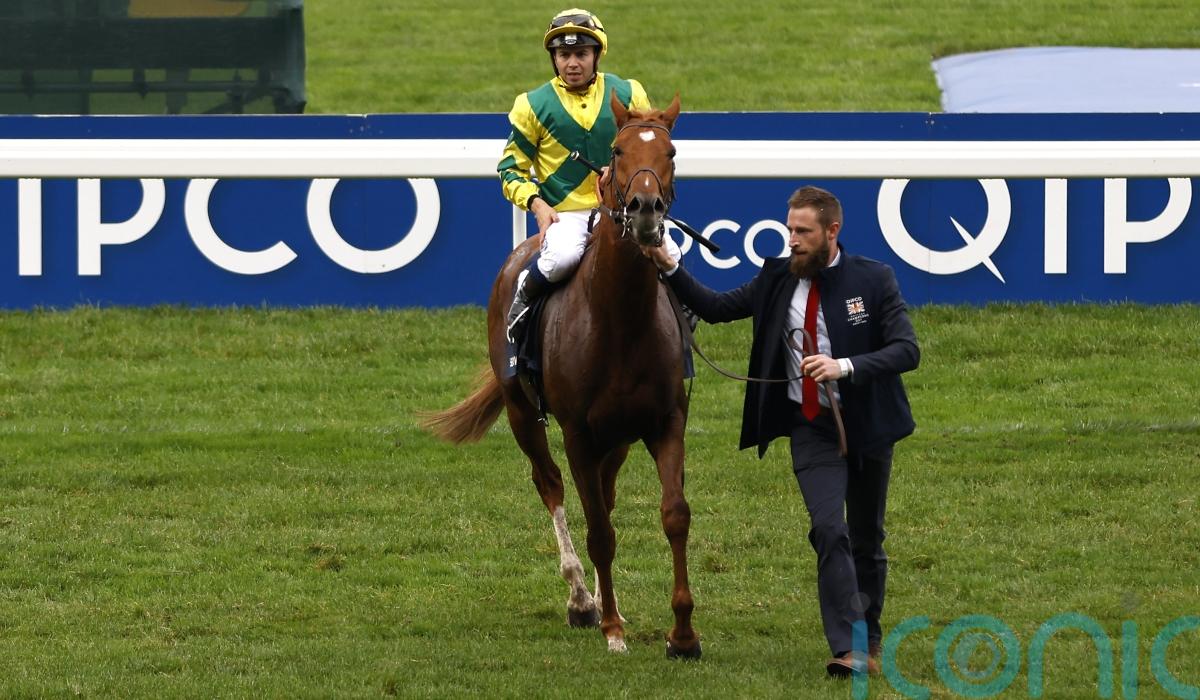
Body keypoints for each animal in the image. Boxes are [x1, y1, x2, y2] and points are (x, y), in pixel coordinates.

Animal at [421, 93, 699, 658]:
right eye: (617, 151)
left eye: (671, 151)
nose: (645, 212)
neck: (620, 320)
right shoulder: (576, 433)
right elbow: (598, 532)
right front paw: (611, 627)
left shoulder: (665, 422)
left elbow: (673, 514)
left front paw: (682, 634)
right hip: (523, 413)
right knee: (550, 485)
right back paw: (581, 600)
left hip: (616, 438)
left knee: (605, 498)